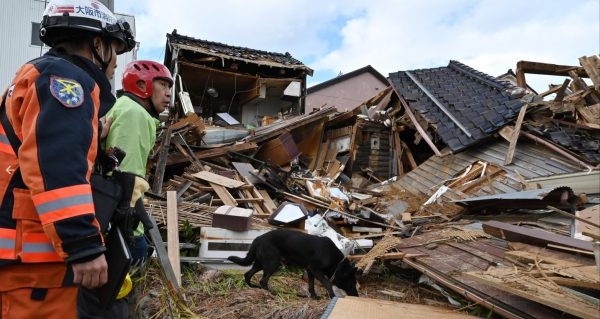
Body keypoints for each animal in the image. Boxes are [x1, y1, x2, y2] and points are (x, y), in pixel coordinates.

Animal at [227, 229, 358, 298]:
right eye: (352, 283)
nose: (356, 295)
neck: (337, 263)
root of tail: (257, 239)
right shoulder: (315, 269)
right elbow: (328, 283)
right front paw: (332, 296)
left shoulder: (311, 271)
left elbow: (311, 285)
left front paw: (314, 297)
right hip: (273, 263)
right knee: (263, 280)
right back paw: (271, 292)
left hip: (260, 263)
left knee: (248, 275)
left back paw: (254, 287)